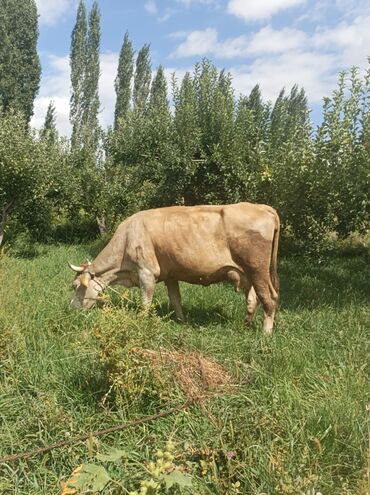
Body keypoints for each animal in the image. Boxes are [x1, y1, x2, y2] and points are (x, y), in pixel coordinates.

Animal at [68, 203, 280, 336]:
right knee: (252, 299)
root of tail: (261, 207)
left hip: (258, 269)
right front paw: (182, 320)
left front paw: (141, 322)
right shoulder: (170, 275)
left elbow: (146, 302)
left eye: (75, 285)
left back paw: (266, 333)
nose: (71, 309)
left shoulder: (146, 273)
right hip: (248, 273)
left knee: (270, 298)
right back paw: (246, 325)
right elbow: (175, 299)